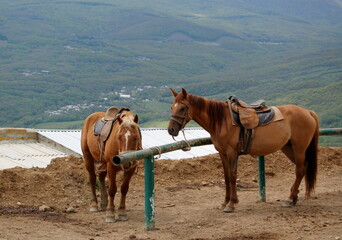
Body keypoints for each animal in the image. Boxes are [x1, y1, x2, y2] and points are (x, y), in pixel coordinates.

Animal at [167, 88, 320, 212]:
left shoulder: (232, 153)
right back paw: (293, 198)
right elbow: (226, 177)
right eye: (172, 107)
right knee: (303, 168)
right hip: (288, 148)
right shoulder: (222, 154)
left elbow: (233, 176)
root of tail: (308, 112)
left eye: (182, 108)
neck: (222, 121)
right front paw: (224, 202)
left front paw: (232, 204)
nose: (171, 130)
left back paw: (289, 199)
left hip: (299, 148)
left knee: (300, 170)